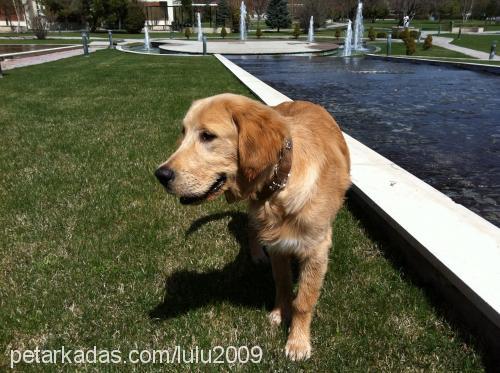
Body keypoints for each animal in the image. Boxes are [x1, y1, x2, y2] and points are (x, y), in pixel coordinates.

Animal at [154, 93, 350, 360]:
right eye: (183, 133)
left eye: (207, 136)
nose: (160, 175)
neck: (281, 183)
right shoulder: (278, 245)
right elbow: (283, 283)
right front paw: (280, 312)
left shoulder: (315, 250)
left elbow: (303, 301)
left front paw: (298, 342)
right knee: (250, 227)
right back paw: (257, 255)